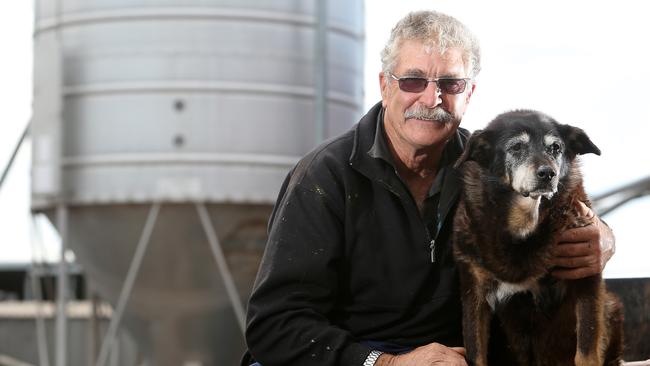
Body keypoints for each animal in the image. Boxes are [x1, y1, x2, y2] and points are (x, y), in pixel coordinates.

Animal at [450, 110, 624, 364]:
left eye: (556, 148)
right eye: (516, 147)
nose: (548, 173)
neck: (525, 220)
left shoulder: (586, 277)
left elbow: (586, 349)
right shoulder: (474, 292)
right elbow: (475, 352)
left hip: (609, 304)